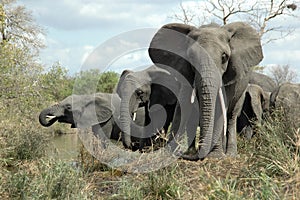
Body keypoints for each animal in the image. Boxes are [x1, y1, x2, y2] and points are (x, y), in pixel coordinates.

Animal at [148, 21, 262, 160]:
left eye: (224, 57)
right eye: (191, 57)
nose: (182, 155)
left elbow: (219, 107)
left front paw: (215, 156)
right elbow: (183, 104)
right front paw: (168, 154)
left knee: (231, 116)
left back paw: (230, 155)